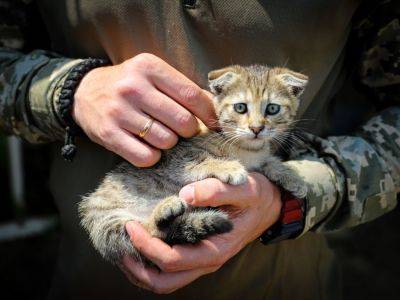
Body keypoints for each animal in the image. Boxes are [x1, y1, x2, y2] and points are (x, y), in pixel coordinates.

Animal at [79, 64, 310, 264]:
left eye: (272, 108)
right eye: (240, 107)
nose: (256, 129)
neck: (245, 149)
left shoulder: (259, 156)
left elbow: (269, 161)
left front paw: (292, 177)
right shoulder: (175, 157)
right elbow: (200, 161)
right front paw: (228, 167)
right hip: (112, 218)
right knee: (150, 233)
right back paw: (165, 209)